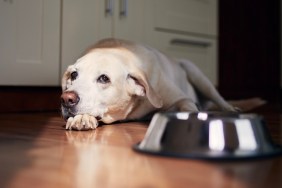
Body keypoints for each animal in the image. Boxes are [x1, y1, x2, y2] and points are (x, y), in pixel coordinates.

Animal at [60, 37, 239, 130]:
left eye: (104, 78)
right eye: (74, 75)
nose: (67, 99)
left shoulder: (182, 98)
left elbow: (188, 107)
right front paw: (81, 118)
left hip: (196, 72)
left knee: (219, 98)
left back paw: (230, 108)